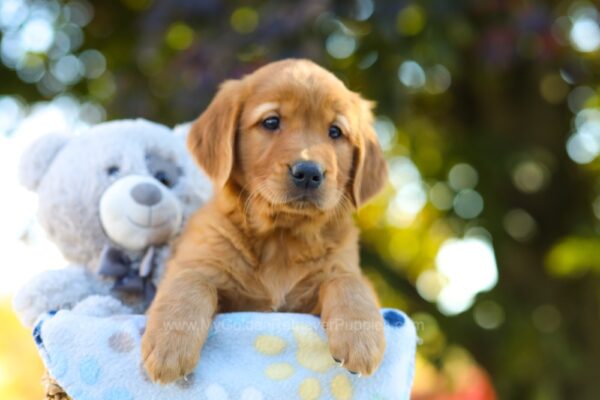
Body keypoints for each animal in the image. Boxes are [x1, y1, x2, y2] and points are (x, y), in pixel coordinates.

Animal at [144, 57, 392, 382]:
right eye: (271, 122)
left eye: (335, 132)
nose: (309, 172)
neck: (281, 237)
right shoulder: (200, 266)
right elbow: (189, 283)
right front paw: (168, 348)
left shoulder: (335, 276)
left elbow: (350, 283)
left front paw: (360, 341)